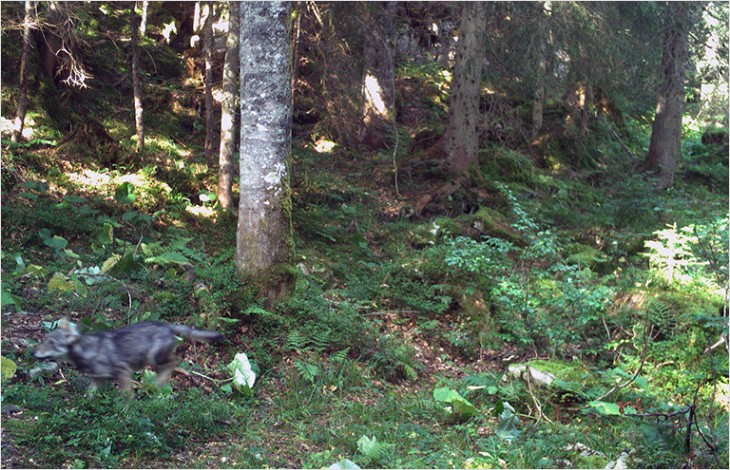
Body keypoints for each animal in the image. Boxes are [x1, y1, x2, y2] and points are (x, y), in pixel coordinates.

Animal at [32, 318, 225, 394]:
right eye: (44, 340)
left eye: (51, 342)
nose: (33, 352)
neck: (87, 351)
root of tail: (167, 325)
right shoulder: (97, 381)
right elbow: (89, 397)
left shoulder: (123, 373)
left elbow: (126, 399)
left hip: (154, 359)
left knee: (176, 361)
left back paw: (158, 383)